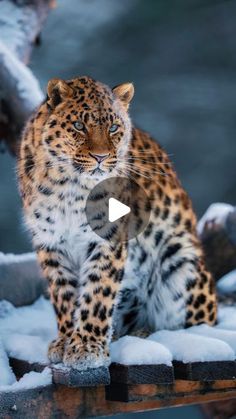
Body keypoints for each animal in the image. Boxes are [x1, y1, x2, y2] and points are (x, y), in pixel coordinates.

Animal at [18, 76, 218, 370]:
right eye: (79, 126)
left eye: (113, 127)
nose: (101, 157)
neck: (68, 186)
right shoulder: (50, 242)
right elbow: (64, 295)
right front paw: (65, 340)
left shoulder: (108, 239)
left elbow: (97, 293)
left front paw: (87, 348)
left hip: (180, 261)